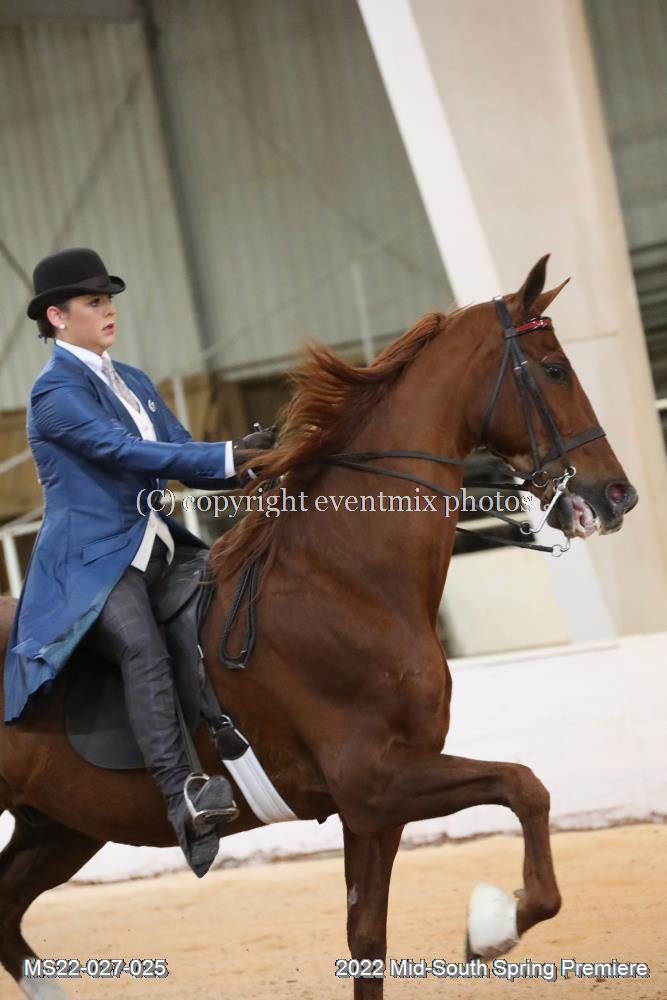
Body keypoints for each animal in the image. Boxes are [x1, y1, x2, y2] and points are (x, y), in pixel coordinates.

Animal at [0, 256, 637, 997]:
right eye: (555, 369)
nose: (618, 495)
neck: (345, 579)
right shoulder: (373, 778)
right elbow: (525, 785)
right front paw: (493, 926)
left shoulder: (374, 807)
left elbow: (367, 940)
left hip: (58, 826)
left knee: (4, 911)